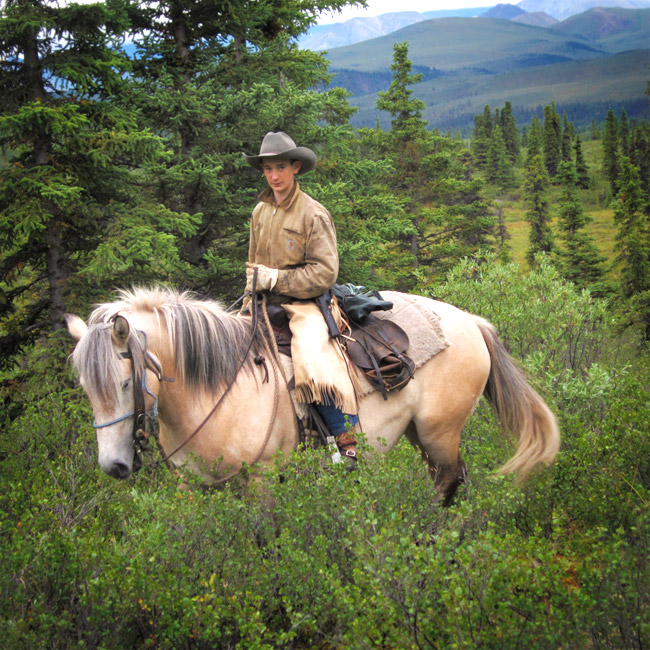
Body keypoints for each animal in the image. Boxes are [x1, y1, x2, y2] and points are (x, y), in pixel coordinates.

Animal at [66, 286, 556, 504]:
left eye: (124, 383)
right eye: (87, 388)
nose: (114, 466)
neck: (217, 390)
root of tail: (472, 320)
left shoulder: (263, 480)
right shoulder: (193, 488)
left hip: (441, 432)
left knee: (448, 482)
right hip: (421, 434)